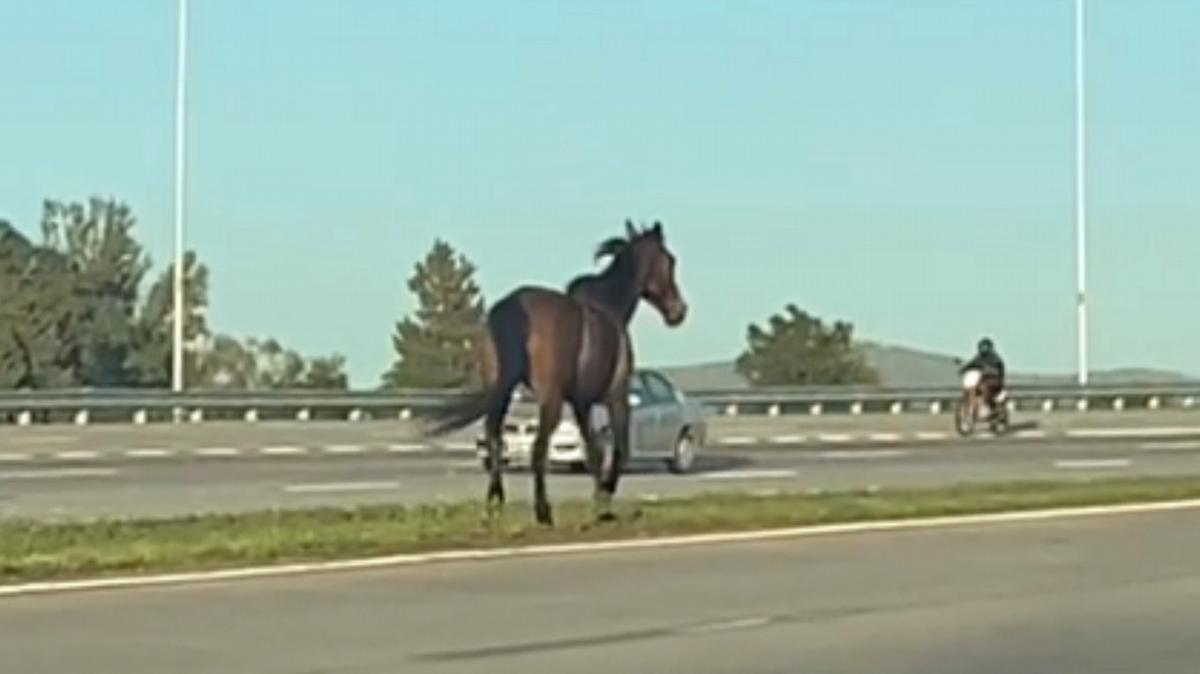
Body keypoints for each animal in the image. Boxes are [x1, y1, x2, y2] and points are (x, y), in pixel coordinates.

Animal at [432, 220, 691, 525]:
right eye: (669, 260)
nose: (679, 311)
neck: (609, 307)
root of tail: (510, 309)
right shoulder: (615, 395)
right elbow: (618, 449)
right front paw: (605, 495)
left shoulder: (581, 403)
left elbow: (593, 450)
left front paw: (600, 500)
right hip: (550, 399)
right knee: (537, 447)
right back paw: (543, 510)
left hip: (503, 390)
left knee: (495, 435)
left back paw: (495, 502)